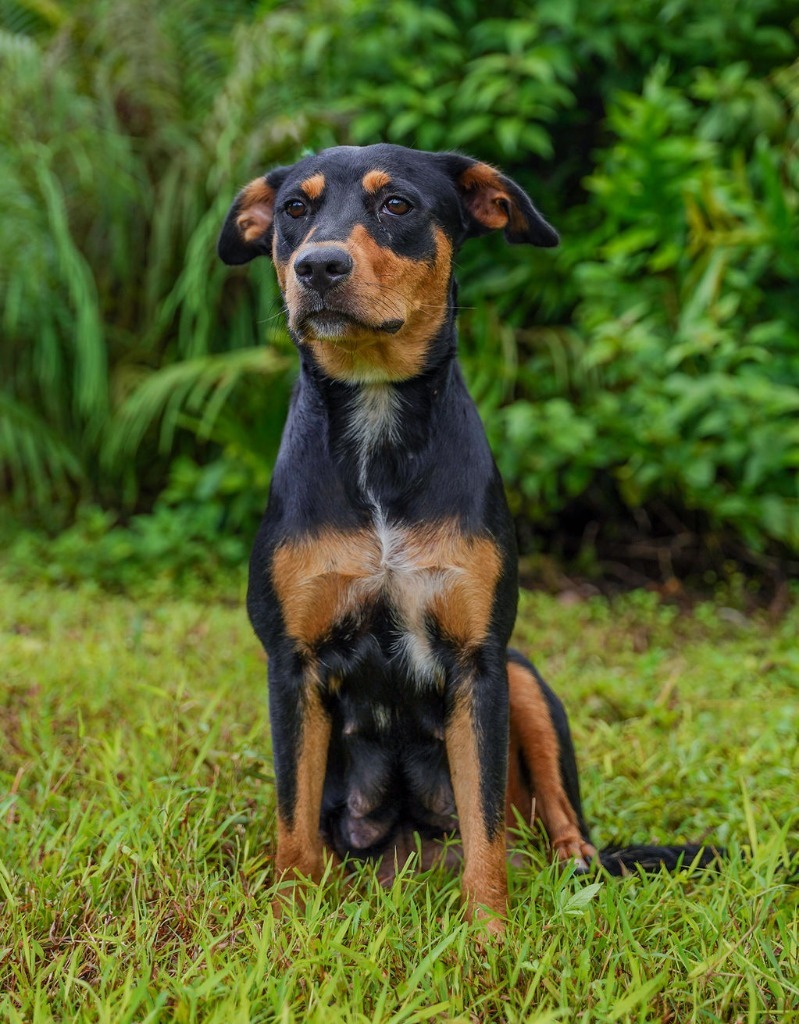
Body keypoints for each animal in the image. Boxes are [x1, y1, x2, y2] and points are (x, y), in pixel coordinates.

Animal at [215, 144, 712, 937]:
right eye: (295, 209)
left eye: (397, 205)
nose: (318, 267)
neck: (377, 425)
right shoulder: (291, 664)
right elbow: (292, 822)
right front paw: (290, 924)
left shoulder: (479, 663)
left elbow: (485, 827)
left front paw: (490, 939)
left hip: (524, 678)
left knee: (558, 821)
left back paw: (575, 868)